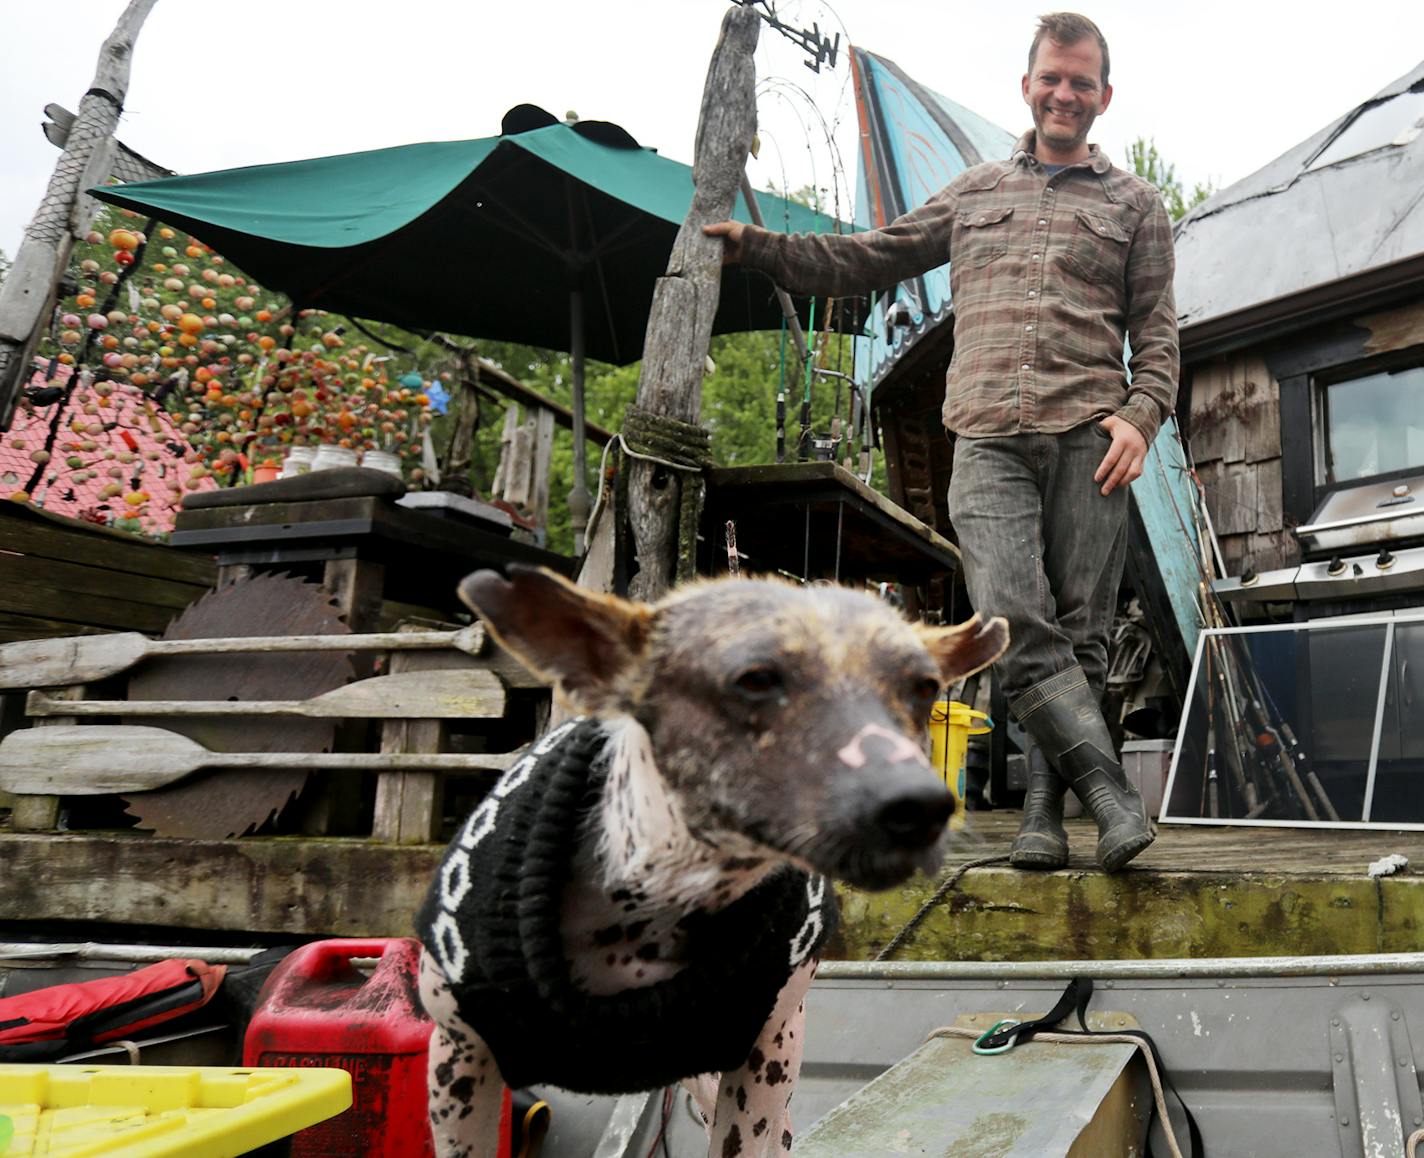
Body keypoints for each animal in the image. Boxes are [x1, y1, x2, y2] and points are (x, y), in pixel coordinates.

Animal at [415, 564, 1013, 1150]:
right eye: (756, 678)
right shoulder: (456, 1058)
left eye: (925, 688)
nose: (921, 805)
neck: (653, 904)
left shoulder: (767, 1057)